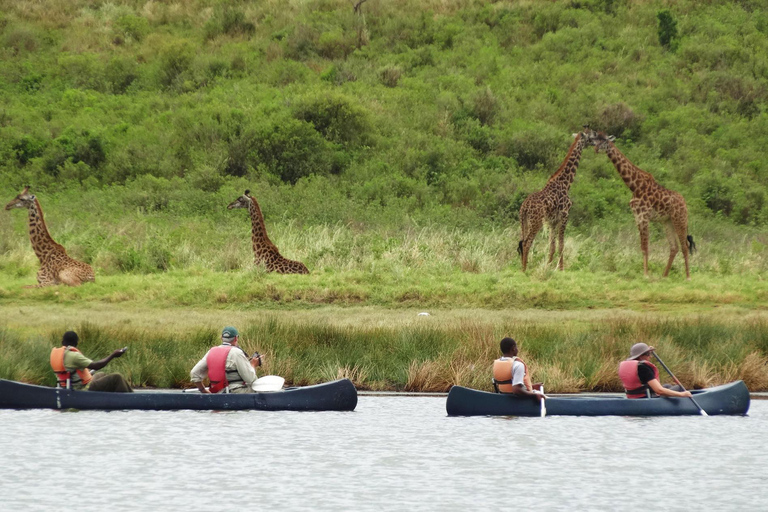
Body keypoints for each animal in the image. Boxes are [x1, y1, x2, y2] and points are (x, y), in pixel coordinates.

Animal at [520, 130, 592, 272]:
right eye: (590, 136)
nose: (593, 143)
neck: (565, 183)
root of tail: (524, 207)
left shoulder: (552, 221)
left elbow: (552, 246)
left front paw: (548, 266)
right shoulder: (564, 216)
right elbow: (561, 244)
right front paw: (561, 268)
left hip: (524, 221)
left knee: (521, 242)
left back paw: (521, 266)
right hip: (536, 222)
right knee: (526, 243)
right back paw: (525, 269)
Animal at [584, 129, 700, 280]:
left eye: (604, 141)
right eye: (596, 139)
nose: (596, 149)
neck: (634, 186)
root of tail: (685, 204)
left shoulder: (644, 216)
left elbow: (645, 247)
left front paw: (645, 275)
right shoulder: (637, 217)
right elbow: (642, 247)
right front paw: (646, 273)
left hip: (679, 219)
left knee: (684, 246)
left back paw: (688, 277)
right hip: (667, 221)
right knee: (674, 247)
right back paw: (664, 276)